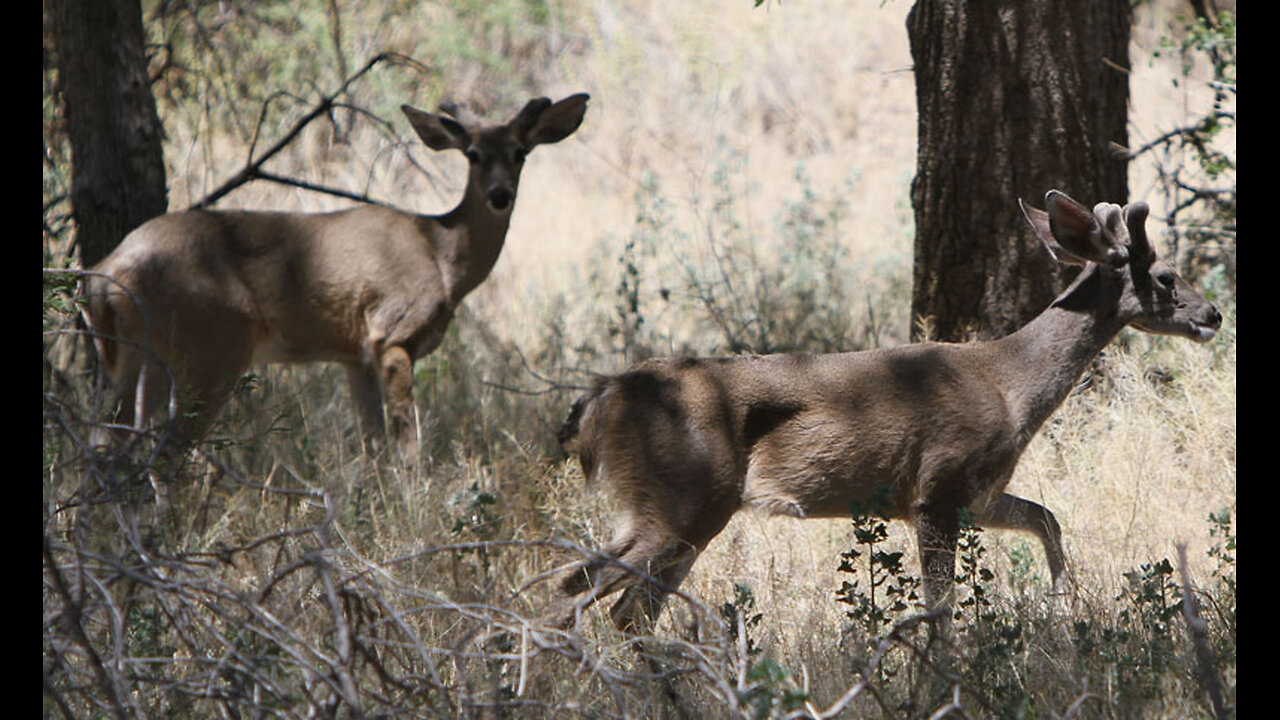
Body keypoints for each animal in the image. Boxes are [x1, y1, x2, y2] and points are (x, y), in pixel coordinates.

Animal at [82, 92, 591, 458]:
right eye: (472, 154)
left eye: (521, 152)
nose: (500, 195)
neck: (442, 254)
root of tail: (106, 273)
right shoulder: (391, 333)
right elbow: (407, 447)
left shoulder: (354, 355)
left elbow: (372, 449)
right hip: (212, 347)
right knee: (163, 454)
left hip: (133, 357)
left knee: (104, 444)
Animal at [547, 188, 1218, 630]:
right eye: (1165, 276)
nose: (1212, 314)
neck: (1010, 383)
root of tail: (601, 396)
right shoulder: (936, 487)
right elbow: (941, 606)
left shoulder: (977, 493)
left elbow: (1047, 518)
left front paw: (1063, 605)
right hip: (683, 496)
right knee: (585, 592)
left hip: (675, 509)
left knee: (618, 607)